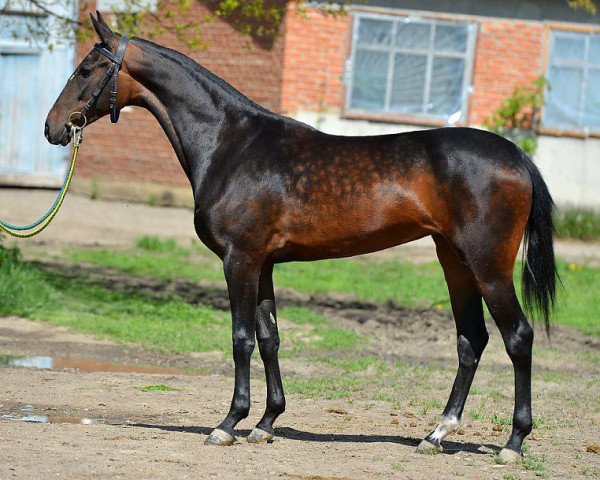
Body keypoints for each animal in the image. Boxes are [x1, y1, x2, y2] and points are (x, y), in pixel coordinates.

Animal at [45, 12, 556, 462]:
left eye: (87, 69)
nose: (53, 127)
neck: (232, 144)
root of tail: (516, 156)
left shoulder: (240, 259)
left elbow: (241, 338)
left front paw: (228, 423)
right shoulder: (265, 263)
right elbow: (269, 337)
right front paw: (266, 423)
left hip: (488, 265)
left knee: (518, 337)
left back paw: (513, 443)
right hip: (455, 261)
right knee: (471, 340)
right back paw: (436, 434)